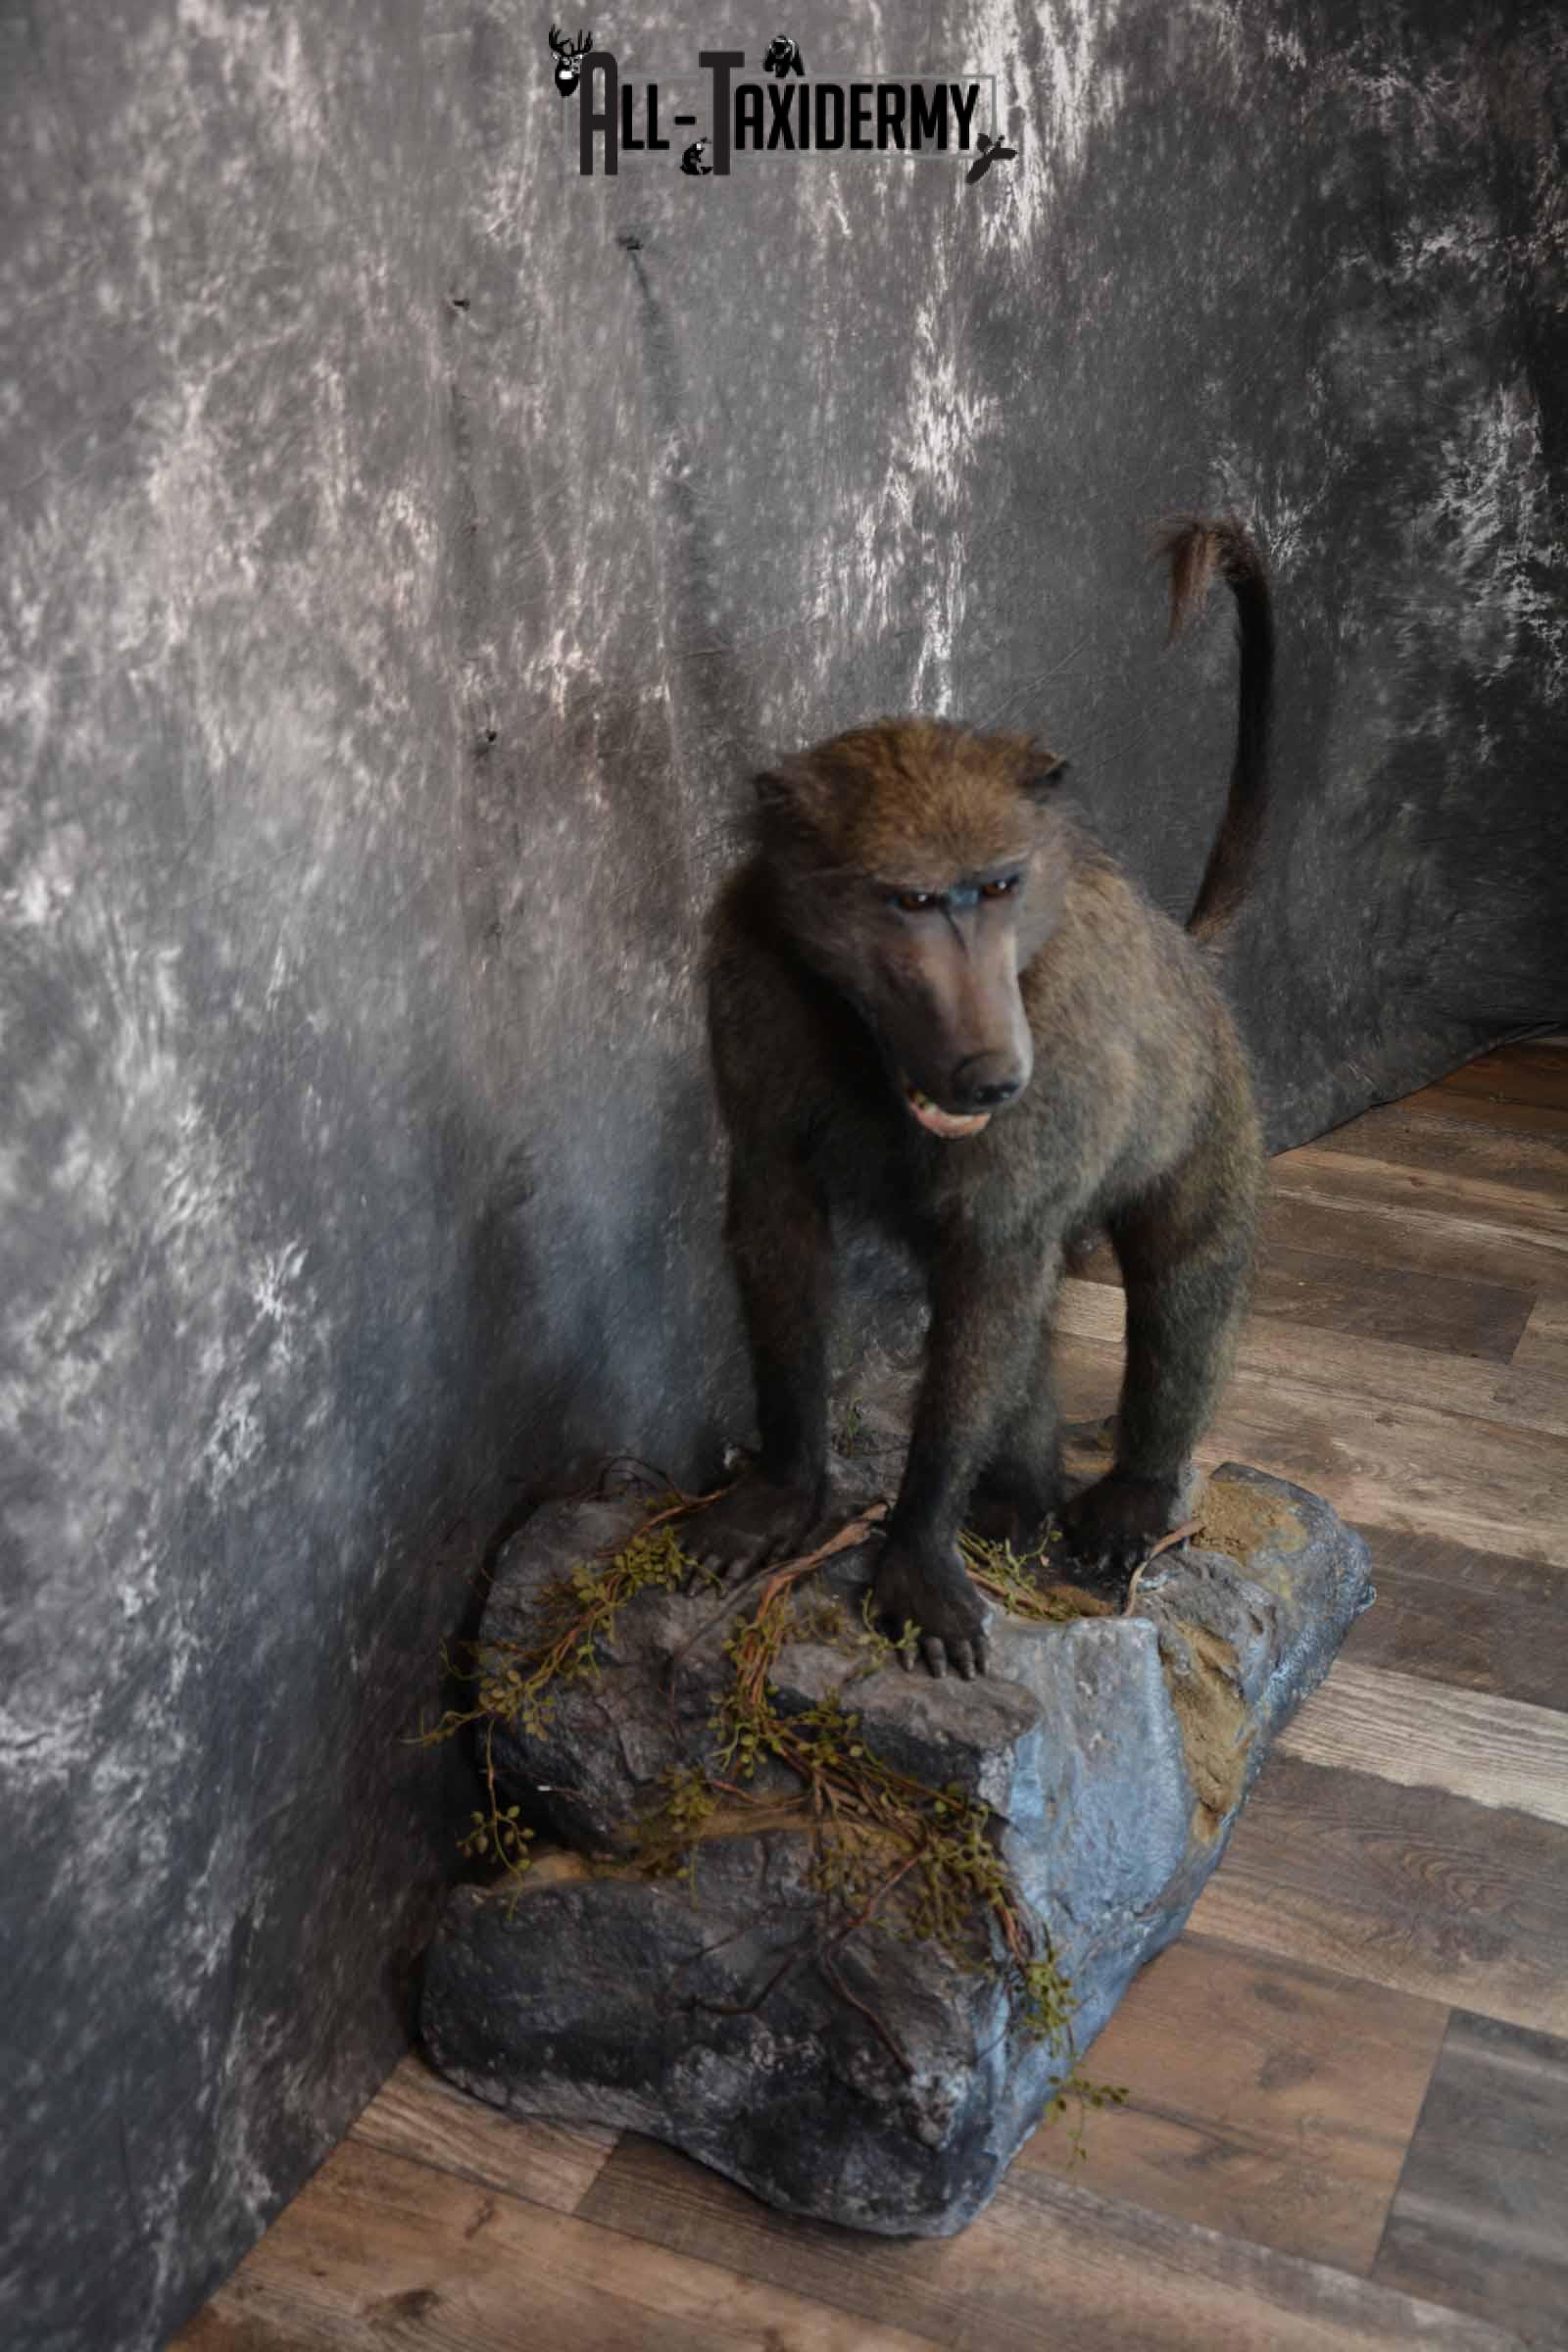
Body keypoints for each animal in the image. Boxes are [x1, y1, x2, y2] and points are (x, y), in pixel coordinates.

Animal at [688, 520, 1272, 1681]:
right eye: (911, 902)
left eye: (998, 886)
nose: (991, 1072)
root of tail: (1190, 960)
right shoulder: (750, 975)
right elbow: (781, 1222)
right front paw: (784, 1490)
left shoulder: (1062, 1039)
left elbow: (999, 1271)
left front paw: (915, 1554)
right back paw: (1018, 1497)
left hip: (1216, 1104)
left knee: (1174, 1279)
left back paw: (1131, 1495)